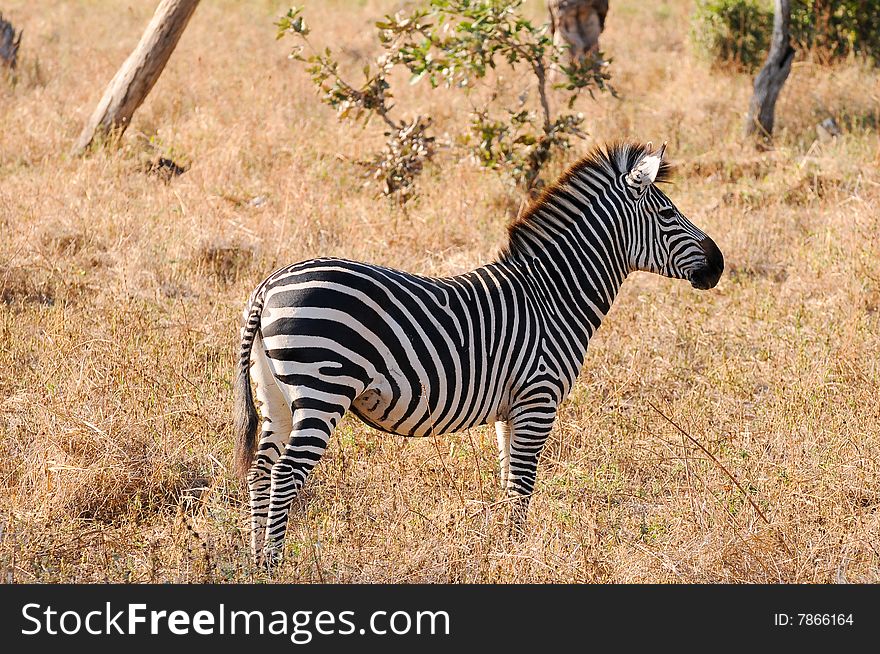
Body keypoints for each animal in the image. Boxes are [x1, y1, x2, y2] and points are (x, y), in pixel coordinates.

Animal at [232, 141, 720, 568]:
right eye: (668, 213)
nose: (719, 266)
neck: (553, 295)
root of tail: (269, 285)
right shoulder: (539, 399)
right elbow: (523, 484)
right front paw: (518, 556)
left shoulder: (513, 408)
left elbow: (508, 481)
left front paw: (507, 549)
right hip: (322, 388)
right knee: (285, 472)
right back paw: (274, 563)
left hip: (275, 393)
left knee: (261, 468)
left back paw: (254, 560)